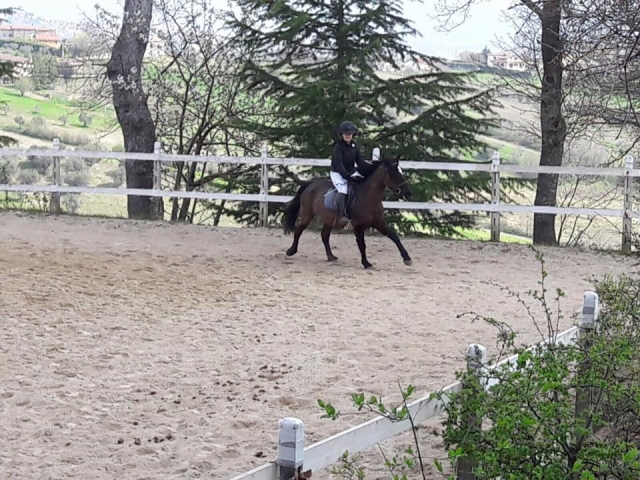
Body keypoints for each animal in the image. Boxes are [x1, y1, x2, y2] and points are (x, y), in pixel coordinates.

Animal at [282, 155, 413, 269]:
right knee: (298, 230)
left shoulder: (380, 223)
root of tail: (311, 184)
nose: (408, 193)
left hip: (329, 220)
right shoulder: (358, 227)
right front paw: (366, 263)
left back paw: (331, 257)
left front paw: (407, 259)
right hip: (307, 215)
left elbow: (394, 237)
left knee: (324, 236)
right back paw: (291, 251)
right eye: (394, 174)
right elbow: (362, 244)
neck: (368, 197)